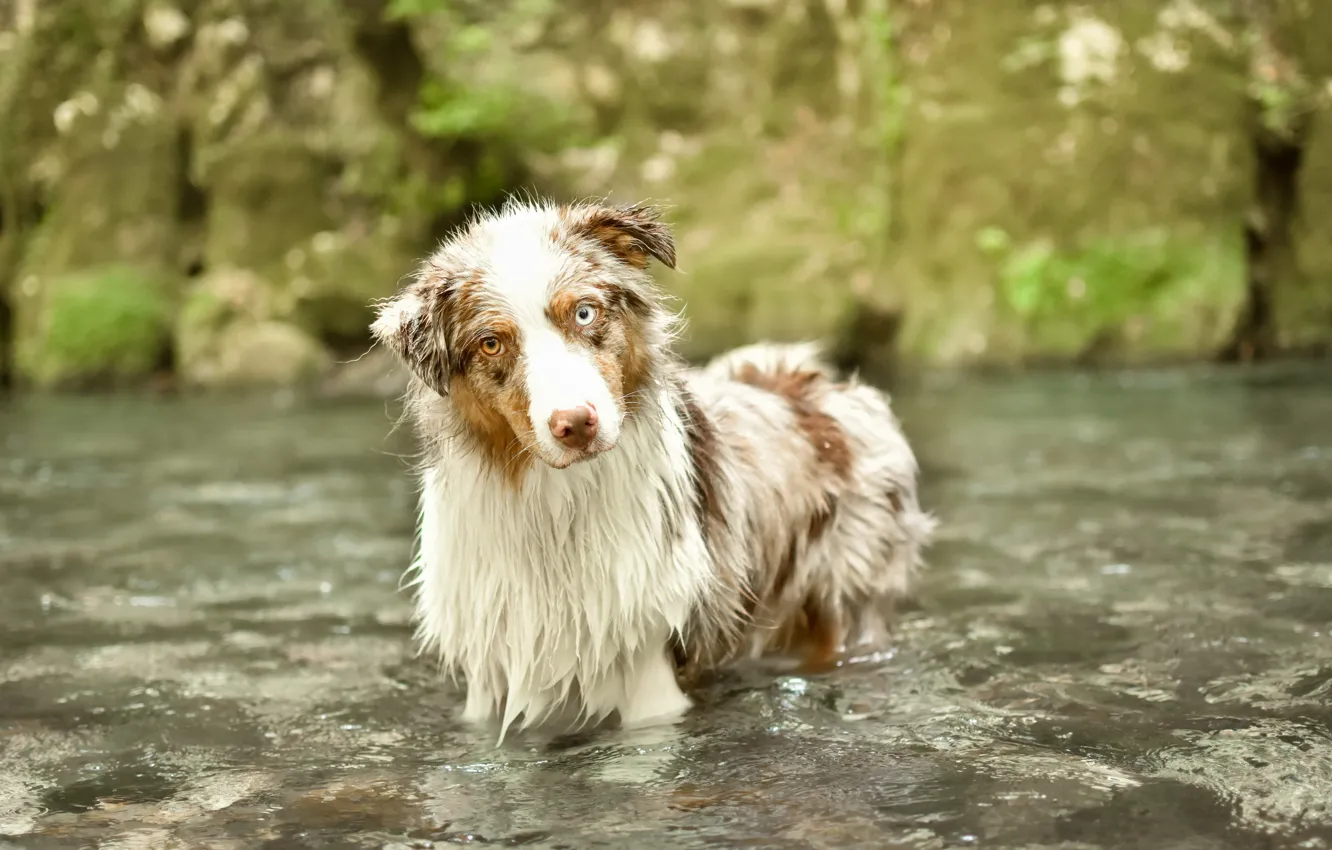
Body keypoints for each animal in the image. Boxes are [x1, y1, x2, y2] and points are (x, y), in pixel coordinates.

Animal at [367, 198, 937, 740]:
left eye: (584, 314)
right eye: (491, 343)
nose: (576, 424)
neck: (558, 511)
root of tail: (815, 382)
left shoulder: (650, 663)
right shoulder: (493, 671)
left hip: (847, 605)